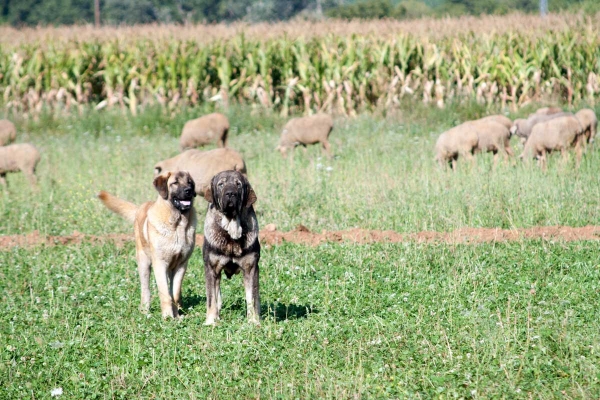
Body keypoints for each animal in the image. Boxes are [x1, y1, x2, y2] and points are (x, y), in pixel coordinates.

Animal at [98, 172, 197, 318]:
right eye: (175, 183)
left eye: (189, 182)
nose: (189, 191)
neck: (178, 224)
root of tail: (140, 207)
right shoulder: (160, 263)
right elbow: (165, 293)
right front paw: (168, 317)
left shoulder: (181, 264)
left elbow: (175, 293)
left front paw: (177, 315)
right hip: (144, 263)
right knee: (146, 289)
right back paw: (145, 310)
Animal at [203, 170, 258, 324]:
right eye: (221, 184)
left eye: (238, 184)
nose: (230, 193)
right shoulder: (211, 268)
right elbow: (212, 298)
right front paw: (211, 321)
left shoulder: (251, 268)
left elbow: (251, 298)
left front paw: (253, 321)